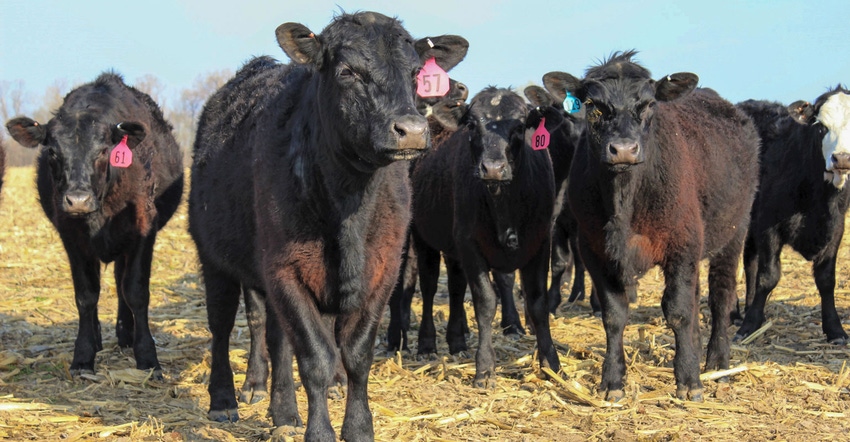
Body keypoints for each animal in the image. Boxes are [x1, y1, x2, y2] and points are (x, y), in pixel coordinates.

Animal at [186, 12, 468, 440]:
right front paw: (319, 430)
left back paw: (284, 410)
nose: (412, 130)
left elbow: (356, 354)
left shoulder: (381, 271)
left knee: (276, 337)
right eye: (348, 71)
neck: (350, 206)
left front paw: (358, 426)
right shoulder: (284, 270)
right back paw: (227, 399)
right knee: (225, 326)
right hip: (215, 255)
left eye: (416, 73)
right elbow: (314, 357)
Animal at [410, 86, 560, 386]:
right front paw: (485, 368)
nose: (492, 168)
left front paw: (550, 363)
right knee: (430, 287)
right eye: (471, 125)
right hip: (424, 239)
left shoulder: (541, 242)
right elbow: (486, 301)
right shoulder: (470, 244)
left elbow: (537, 303)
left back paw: (456, 341)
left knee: (456, 288)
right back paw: (427, 344)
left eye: (519, 126)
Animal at [552, 51, 760, 400]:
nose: (623, 149)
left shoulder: (682, 244)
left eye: (649, 104)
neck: (625, 202)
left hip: (734, 231)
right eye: (593, 104)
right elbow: (614, 315)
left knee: (721, 296)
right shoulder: (594, 250)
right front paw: (612, 381)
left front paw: (689, 380)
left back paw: (717, 363)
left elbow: (678, 311)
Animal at [736, 86, 848, 346]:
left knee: (750, 261)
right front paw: (749, 326)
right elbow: (768, 277)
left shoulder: (836, 228)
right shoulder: (769, 225)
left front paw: (835, 329)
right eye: (821, 127)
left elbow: (826, 279)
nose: (842, 159)